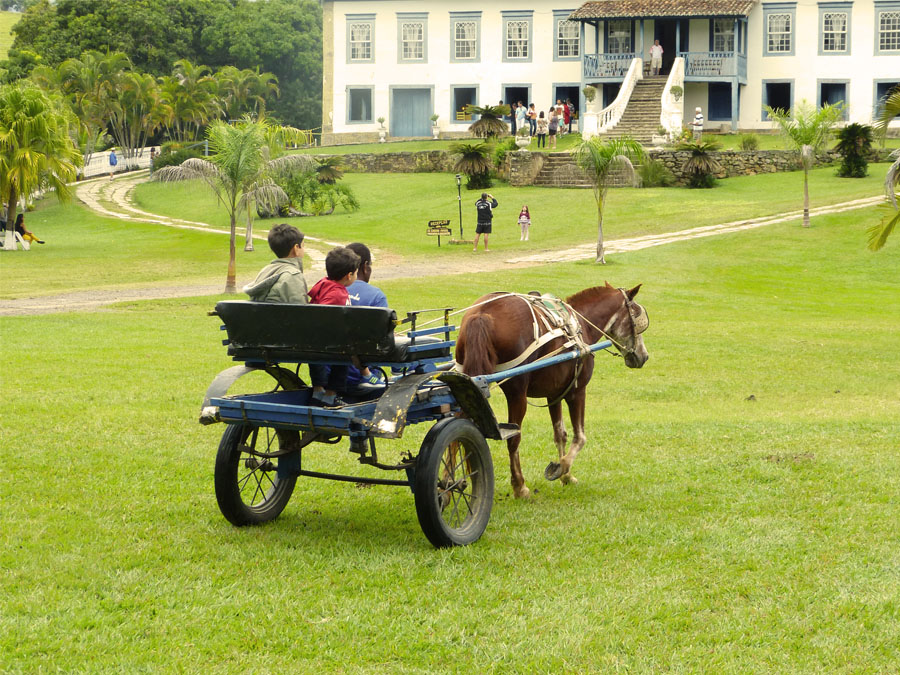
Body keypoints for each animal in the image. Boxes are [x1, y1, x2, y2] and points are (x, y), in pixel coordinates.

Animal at [458, 282, 648, 500]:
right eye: (637, 319)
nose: (644, 356)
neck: (580, 327)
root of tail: (482, 313)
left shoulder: (554, 394)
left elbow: (560, 434)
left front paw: (567, 476)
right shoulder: (576, 392)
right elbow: (580, 437)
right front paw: (561, 468)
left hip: (468, 384)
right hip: (516, 396)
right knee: (513, 439)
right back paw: (520, 486)